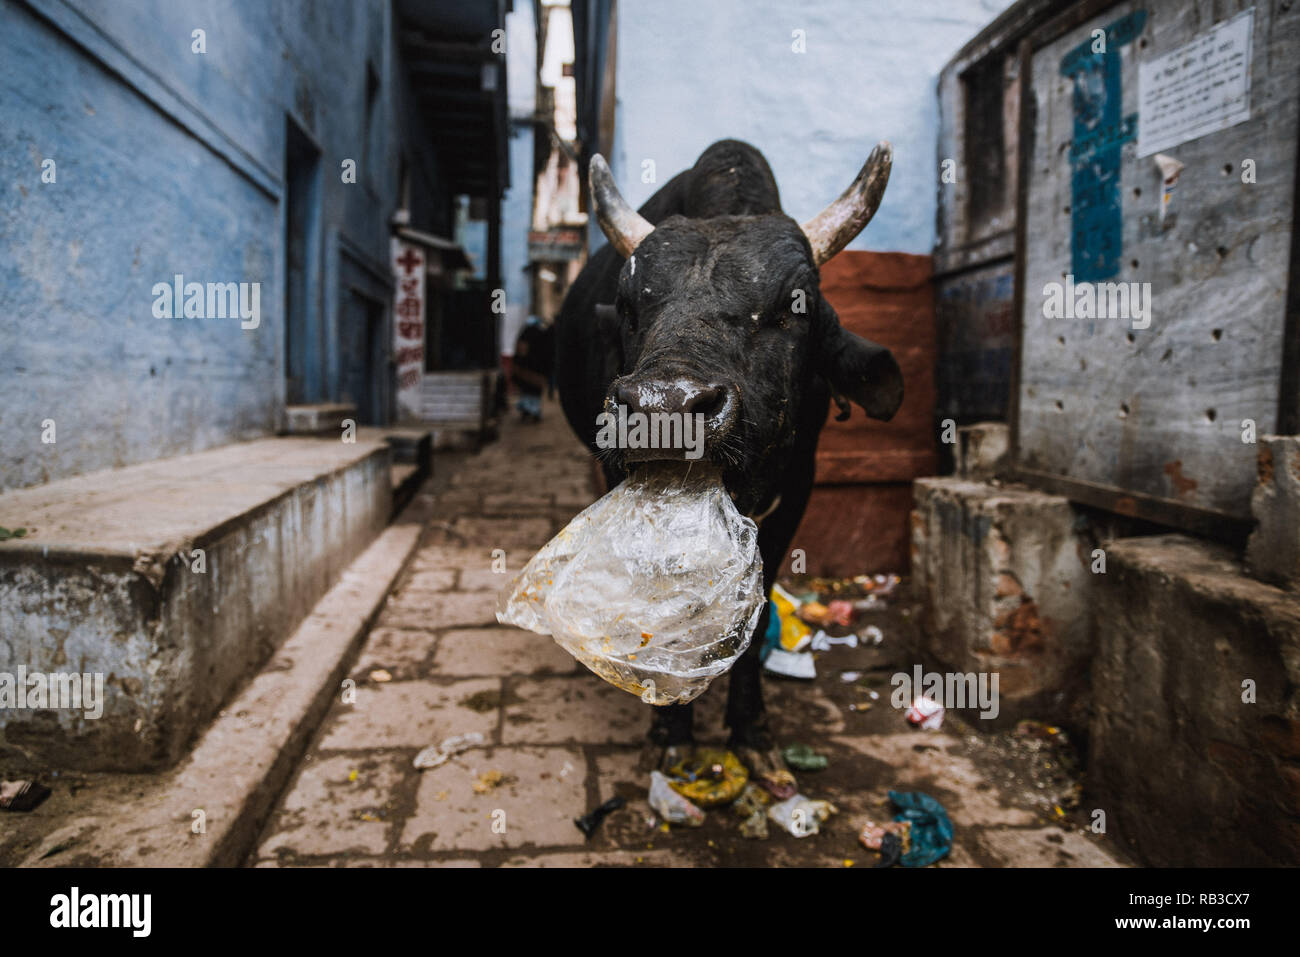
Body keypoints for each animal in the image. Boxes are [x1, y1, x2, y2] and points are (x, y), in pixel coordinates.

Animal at [556, 136, 904, 780]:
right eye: (628, 304)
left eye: (795, 304)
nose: (664, 407)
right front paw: (670, 732)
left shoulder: (796, 491)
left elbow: (758, 613)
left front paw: (751, 731)